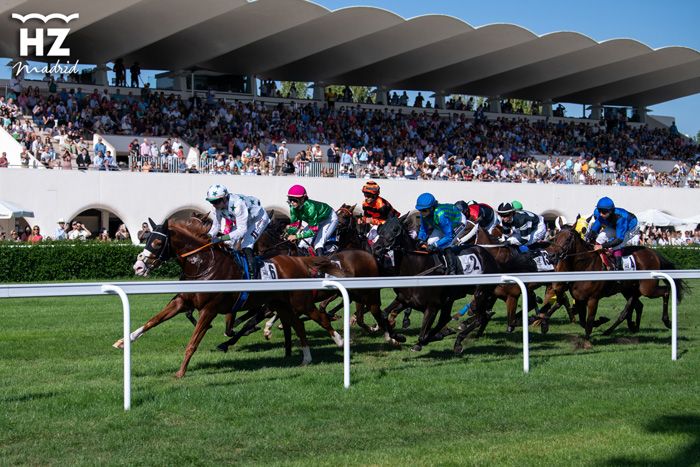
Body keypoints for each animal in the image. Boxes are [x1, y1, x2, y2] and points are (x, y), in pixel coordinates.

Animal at [119, 218, 348, 378]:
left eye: (158, 242)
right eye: (145, 239)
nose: (138, 267)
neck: (203, 265)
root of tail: (299, 262)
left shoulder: (209, 309)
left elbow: (193, 342)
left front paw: (180, 372)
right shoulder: (182, 301)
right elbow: (154, 320)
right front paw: (125, 339)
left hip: (300, 302)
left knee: (320, 317)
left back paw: (339, 341)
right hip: (282, 304)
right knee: (298, 325)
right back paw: (306, 357)